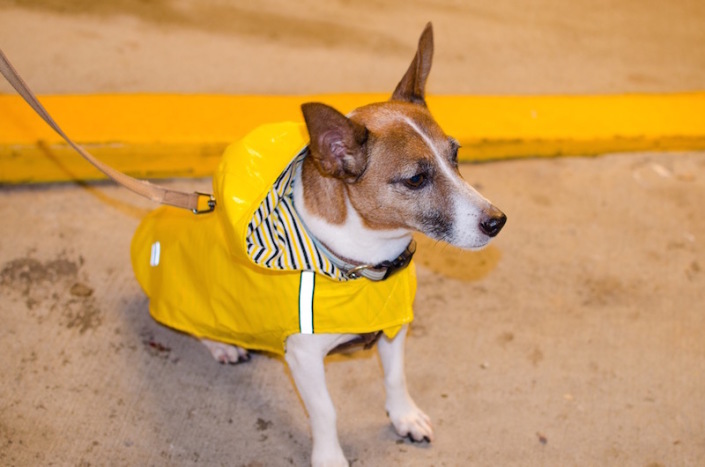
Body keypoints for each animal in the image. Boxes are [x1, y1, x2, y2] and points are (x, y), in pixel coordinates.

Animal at [131, 22, 506, 467]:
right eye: (416, 179)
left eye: (456, 154)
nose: (497, 222)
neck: (364, 264)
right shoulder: (305, 358)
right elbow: (326, 410)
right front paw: (330, 456)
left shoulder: (394, 327)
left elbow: (395, 377)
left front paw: (404, 416)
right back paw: (221, 344)